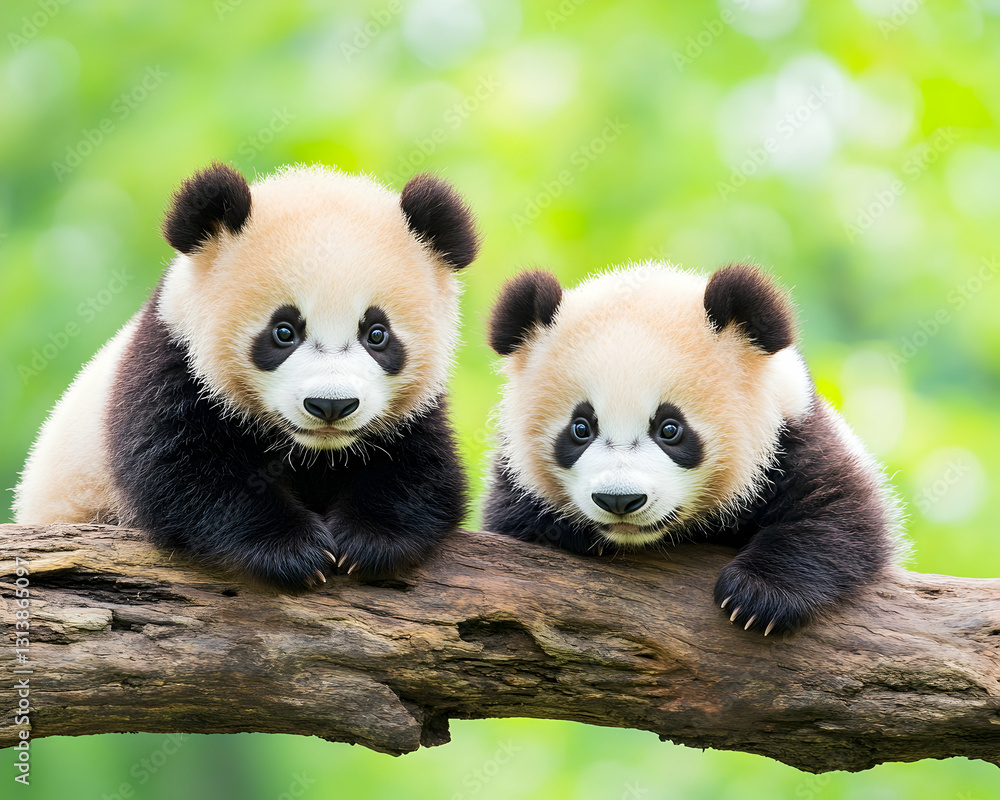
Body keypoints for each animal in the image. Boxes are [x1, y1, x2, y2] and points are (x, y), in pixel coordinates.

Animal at [14, 162, 480, 590]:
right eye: (284, 331)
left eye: (377, 334)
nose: (331, 405)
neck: (314, 451)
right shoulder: (171, 363)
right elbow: (185, 471)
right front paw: (294, 552)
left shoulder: (417, 409)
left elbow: (425, 473)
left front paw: (367, 543)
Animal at [483, 262, 906, 636]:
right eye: (581, 429)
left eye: (670, 429)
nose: (619, 500)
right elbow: (510, 517)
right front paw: (568, 531)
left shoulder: (792, 436)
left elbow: (841, 516)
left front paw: (755, 598)